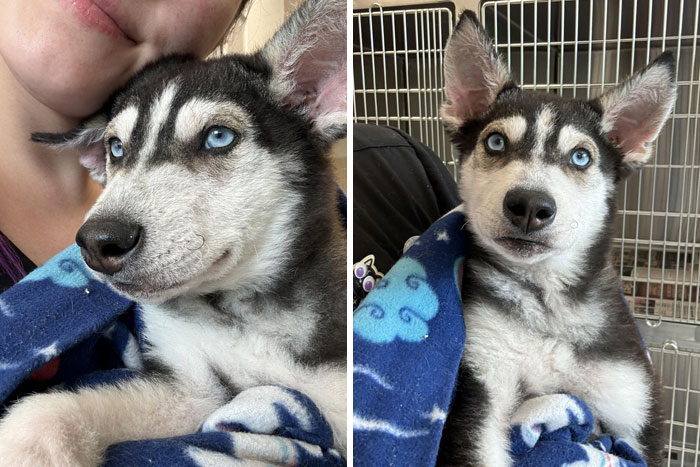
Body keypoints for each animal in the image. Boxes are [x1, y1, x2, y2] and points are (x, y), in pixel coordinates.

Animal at [0, 0, 346, 464]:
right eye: (116, 148)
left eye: (218, 137)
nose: (98, 241)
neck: (239, 313)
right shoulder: (192, 388)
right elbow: (54, 410)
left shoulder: (328, 396)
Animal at [440, 11, 676, 467]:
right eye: (496, 141)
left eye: (581, 157)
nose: (529, 205)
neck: (550, 304)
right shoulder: (481, 380)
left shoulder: (633, 403)